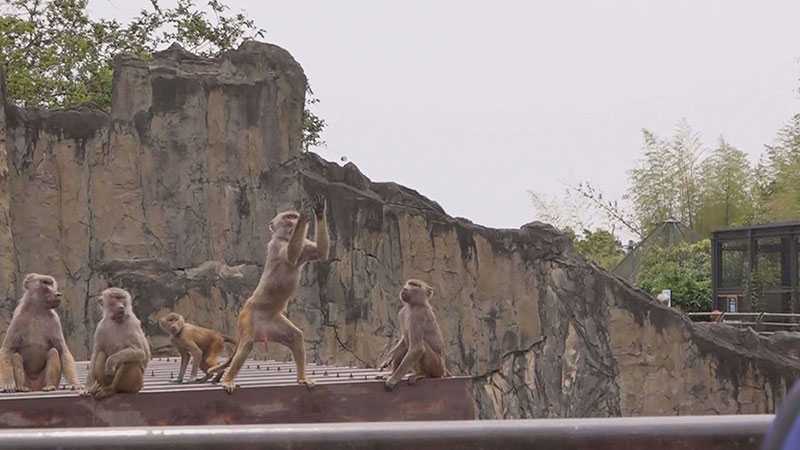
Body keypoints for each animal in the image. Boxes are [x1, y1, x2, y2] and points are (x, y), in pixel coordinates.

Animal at [211, 195, 330, 392]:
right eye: (289, 217)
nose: (294, 221)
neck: (285, 238)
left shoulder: (304, 246)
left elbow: (320, 253)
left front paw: (319, 212)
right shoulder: (277, 245)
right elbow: (290, 254)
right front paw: (305, 216)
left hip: (273, 323)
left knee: (296, 337)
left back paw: (302, 378)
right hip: (247, 317)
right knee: (247, 345)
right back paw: (228, 380)